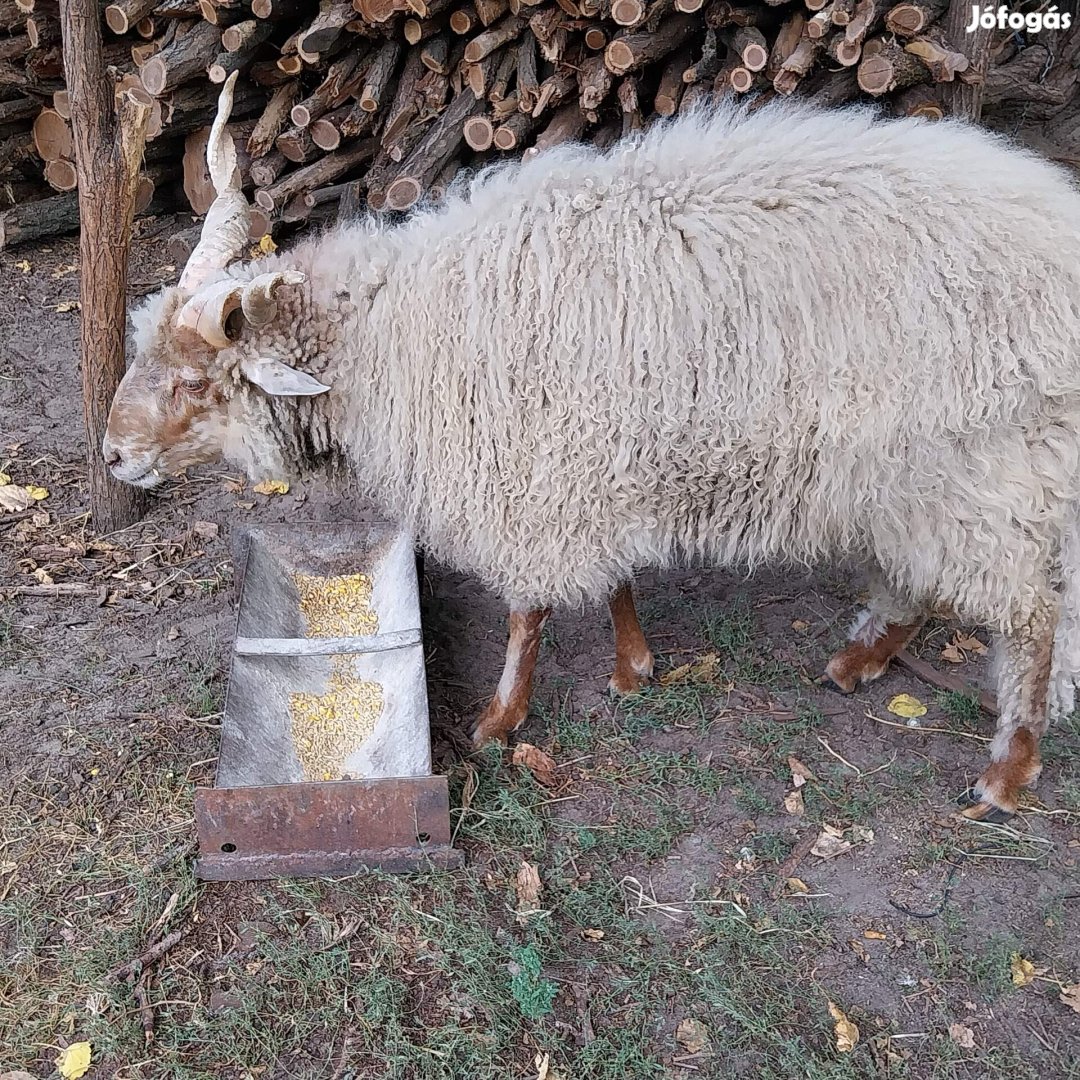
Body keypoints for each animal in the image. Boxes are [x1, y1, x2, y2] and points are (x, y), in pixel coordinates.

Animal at [103, 71, 1080, 820]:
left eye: (193, 383)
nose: (112, 456)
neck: (391, 331)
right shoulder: (585, 461)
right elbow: (611, 581)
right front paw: (632, 666)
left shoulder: (534, 474)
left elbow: (527, 611)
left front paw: (502, 720)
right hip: (919, 478)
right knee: (929, 577)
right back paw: (862, 660)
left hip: (992, 469)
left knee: (1032, 617)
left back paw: (1006, 770)